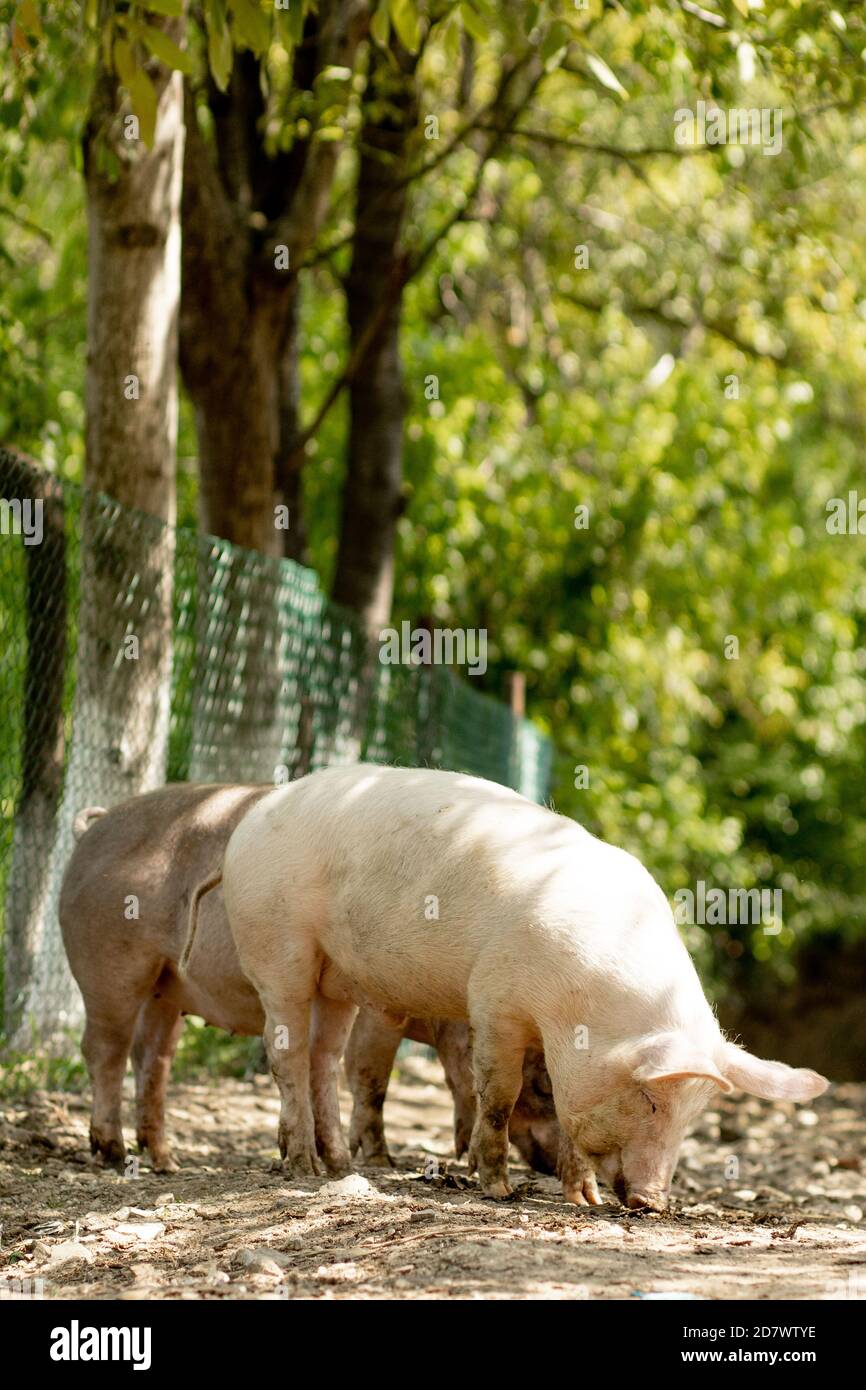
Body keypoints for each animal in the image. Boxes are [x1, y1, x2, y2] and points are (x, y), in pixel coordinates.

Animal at [59, 783, 559, 1175]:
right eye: (542, 1085)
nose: (554, 1167)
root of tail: (92, 828)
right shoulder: (381, 1012)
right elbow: (372, 1076)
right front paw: (379, 1160)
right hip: (109, 967)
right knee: (104, 1049)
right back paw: (112, 1153)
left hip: (167, 986)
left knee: (153, 1057)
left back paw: (167, 1162)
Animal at [217, 764, 829, 1208]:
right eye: (652, 1101)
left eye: (692, 1118)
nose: (654, 1202)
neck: (579, 1007)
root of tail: (255, 814)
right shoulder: (495, 1002)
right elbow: (496, 1094)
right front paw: (497, 1189)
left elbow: (563, 1107)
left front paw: (583, 1201)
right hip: (278, 946)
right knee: (286, 1052)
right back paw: (302, 1164)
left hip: (337, 978)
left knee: (324, 1056)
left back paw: (339, 1164)